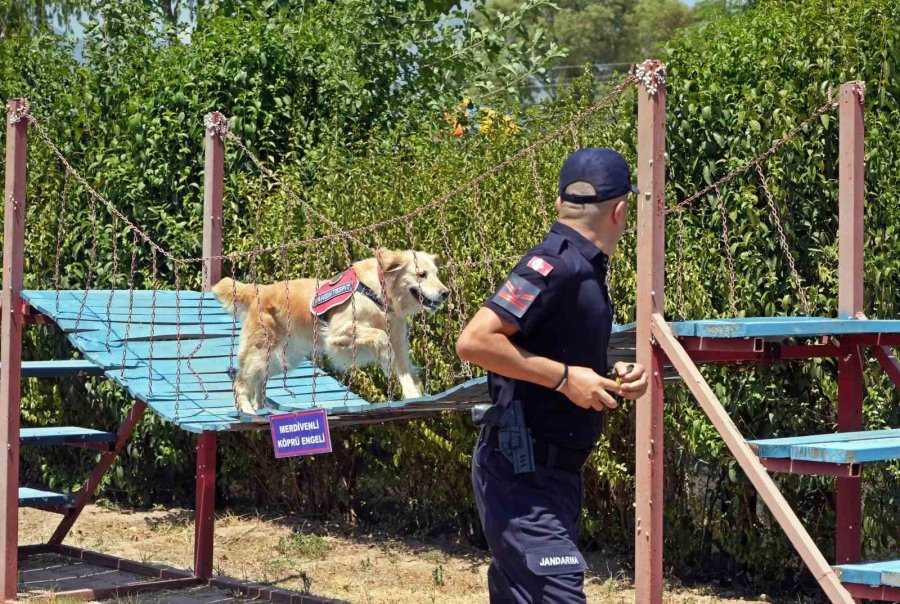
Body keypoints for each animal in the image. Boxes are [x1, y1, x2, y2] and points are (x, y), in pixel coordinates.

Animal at [212, 248, 450, 412]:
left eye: (437, 274)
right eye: (421, 274)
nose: (446, 293)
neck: (378, 293)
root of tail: (260, 290)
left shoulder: (399, 342)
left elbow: (404, 371)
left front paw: (414, 396)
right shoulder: (339, 334)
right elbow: (381, 338)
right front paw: (385, 358)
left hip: (282, 358)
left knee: (259, 382)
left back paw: (262, 409)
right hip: (260, 352)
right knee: (241, 382)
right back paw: (248, 410)